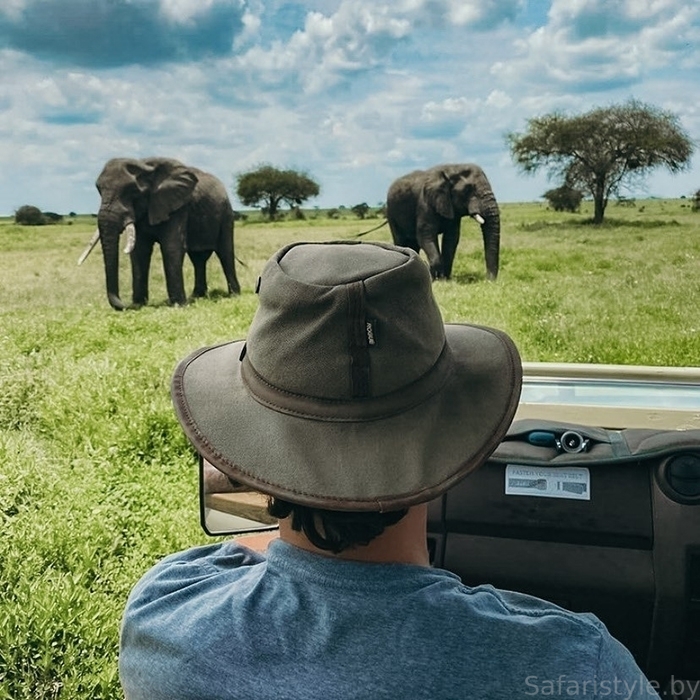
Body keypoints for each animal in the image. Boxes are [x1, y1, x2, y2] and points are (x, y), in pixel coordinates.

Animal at [78, 160, 241, 314]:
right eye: (99, 191)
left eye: (132, 192)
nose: (126, 304)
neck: (145, 167)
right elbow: (140, 251)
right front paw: (139, 304)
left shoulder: (178, 207)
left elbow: (172, 247)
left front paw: (178, 305)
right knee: (198, 259)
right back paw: (196, 296)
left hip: (226, 213)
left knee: (225, 253)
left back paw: (234, 295)